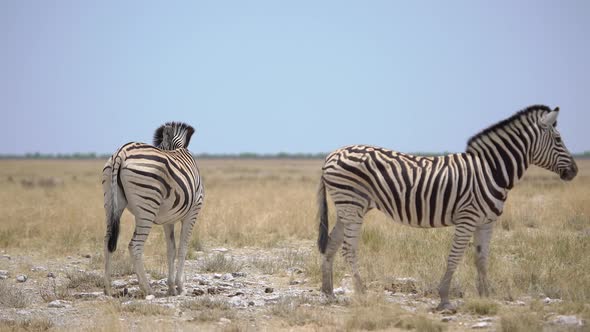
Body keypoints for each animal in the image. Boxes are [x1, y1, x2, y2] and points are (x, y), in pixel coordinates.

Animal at [100, 121, 205, 296]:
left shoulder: (168, 220)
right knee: (135, 246)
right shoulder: (193, 212)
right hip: (147, 207)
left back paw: (108, 288)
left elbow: (171, 250)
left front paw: (171, 287)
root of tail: (121, 152)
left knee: (108, 239)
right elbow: (183, 248)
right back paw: (147, 289)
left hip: (110, 201)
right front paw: (180, 286)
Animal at [316, 105, 580, 310]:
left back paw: (328, 292)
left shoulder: (487, 222)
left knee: (332, 243)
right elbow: (455, 257)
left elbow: (481, 259)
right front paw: (444, 299)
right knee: (348, 249)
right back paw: (361, 293)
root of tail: (331, 154)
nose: (575, 171)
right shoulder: (468, 218)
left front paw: (486, 297)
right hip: (352, 204)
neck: (492, 172)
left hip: (348, 207)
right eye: (558, 140)